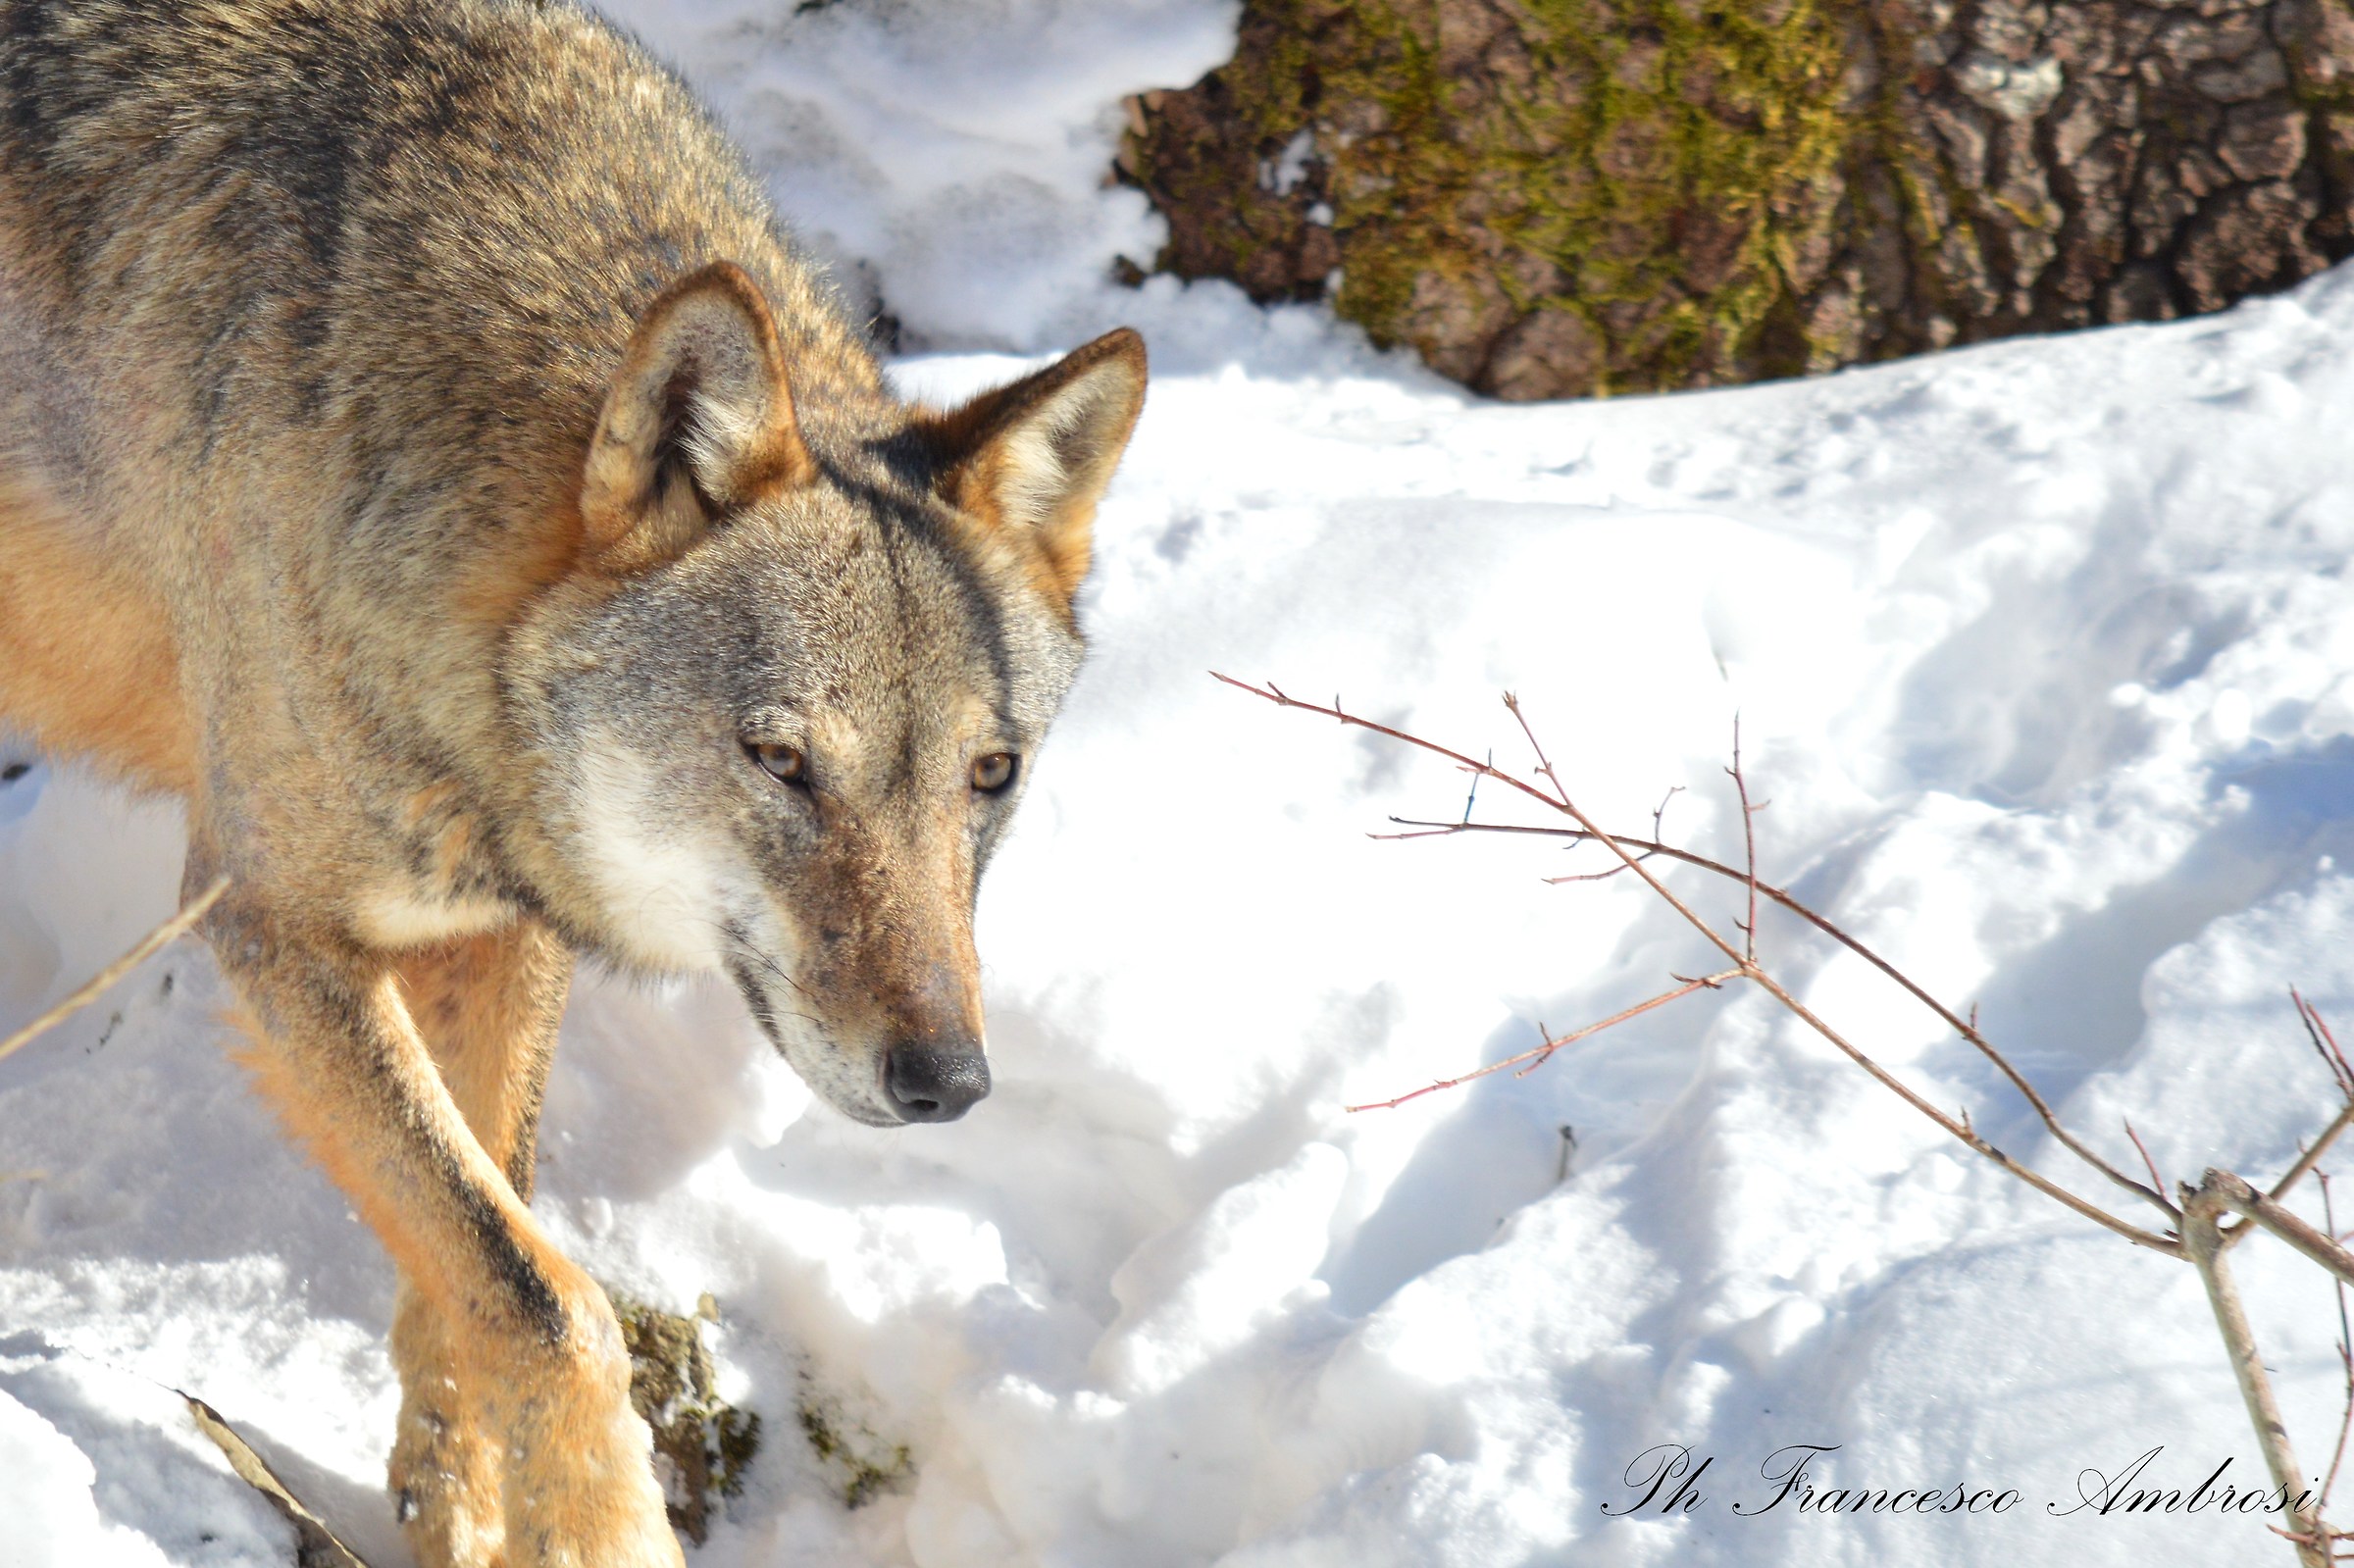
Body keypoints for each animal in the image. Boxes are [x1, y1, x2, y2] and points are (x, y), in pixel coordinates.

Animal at [0, 1, 1146, 1562]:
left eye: (991, 773)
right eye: (780, 758)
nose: (948, 1082)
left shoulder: (497, 923)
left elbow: (477, 1261)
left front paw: (455, 1510)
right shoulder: (271, 925)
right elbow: (549, 1301)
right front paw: (599, 1532)